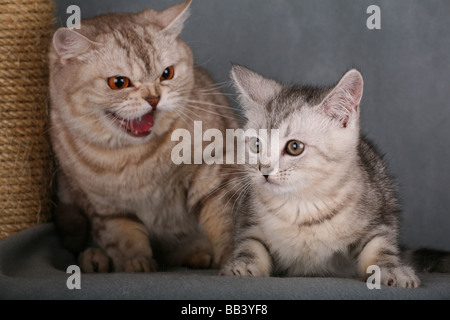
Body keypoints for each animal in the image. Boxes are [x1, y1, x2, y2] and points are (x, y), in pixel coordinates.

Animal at [220, 65, 434, 288]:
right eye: (256, 145)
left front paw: (390, 269)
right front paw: (244, 264)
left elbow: (379, 244)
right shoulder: (248, 219)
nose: (264, 169)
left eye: (294, 147)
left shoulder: (380, 213)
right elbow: (250, 244)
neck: (302, 207)